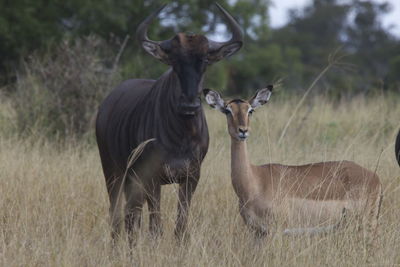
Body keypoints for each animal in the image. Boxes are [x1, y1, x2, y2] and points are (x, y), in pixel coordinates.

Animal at [205, 87, 382, 242]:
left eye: (250, 110)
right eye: (227, 110)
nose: (242, 131)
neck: (255, 181)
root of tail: (375, 177)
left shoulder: (275, 232)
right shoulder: (258, 233)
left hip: (368, 224)